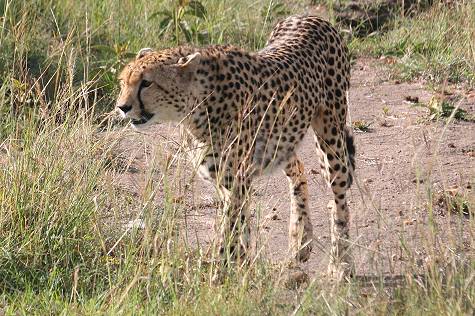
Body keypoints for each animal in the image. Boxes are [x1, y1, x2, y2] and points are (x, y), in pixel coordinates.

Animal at [117, 14, 356, 278]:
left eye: (147, 83)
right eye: (123, 82)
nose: (122, 107)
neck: (197, 103)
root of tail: (311, 16)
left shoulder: (236, 181)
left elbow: (229, 229)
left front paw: (221, 274)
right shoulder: (228, 182)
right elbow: (239, 225)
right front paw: (241, 266)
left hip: (330, 134)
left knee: (338, 198)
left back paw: (341, 263)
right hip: (283, 139)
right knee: (298, 168)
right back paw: (300, 240)